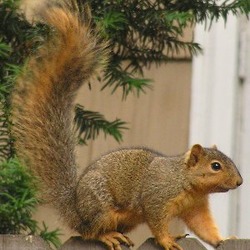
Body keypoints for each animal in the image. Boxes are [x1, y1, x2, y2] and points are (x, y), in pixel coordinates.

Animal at [10, 1, 243, 250]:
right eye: (216, 166)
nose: (239, 182)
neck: (185, 181)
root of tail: (75, 209)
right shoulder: (156, 198)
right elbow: (157, 222)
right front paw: (167, 240)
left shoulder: (196, 208)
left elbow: (204, 227)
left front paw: (224, 239)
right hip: (100, 207)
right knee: (89, 232)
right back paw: (107, 236)